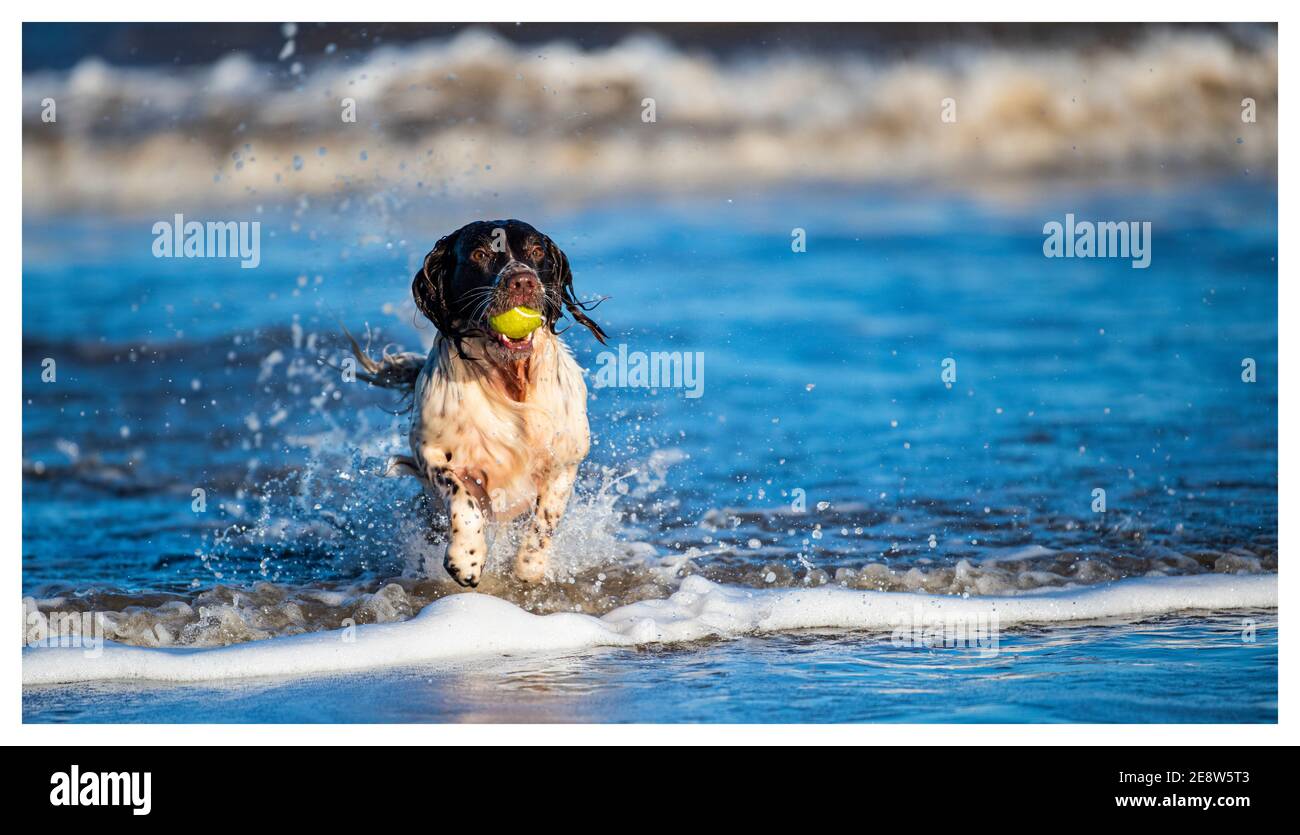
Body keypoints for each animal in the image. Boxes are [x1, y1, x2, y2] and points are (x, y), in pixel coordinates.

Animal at [348, 221, 605, 585]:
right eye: (480, 254)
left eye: (536, 251)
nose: (523, 280)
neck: (511, 383)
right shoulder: (431, 453)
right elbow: (463, 500)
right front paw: (465, 558)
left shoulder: (566, 460)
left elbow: (545, 520)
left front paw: (528, 567)